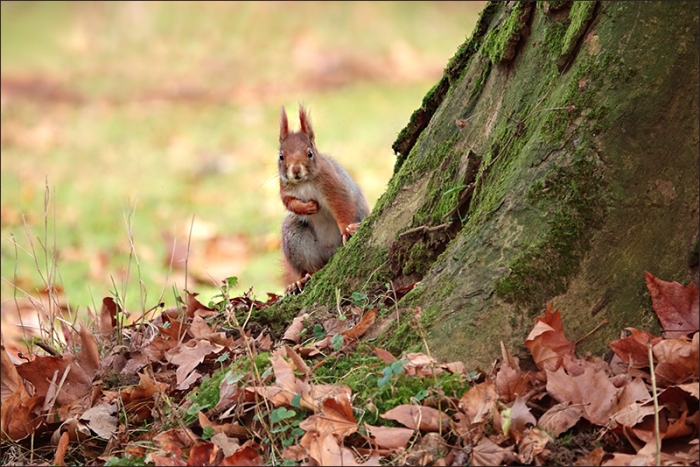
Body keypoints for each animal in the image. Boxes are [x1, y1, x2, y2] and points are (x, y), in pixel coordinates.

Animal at [278, 105, 370, 294]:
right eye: (281, 156)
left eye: (310, 153)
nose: (296, 170)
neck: (304, 182)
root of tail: (330, 254)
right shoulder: (284, 190)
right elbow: (290, 203)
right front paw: (308, 207)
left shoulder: (332, 183)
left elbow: (341, 203)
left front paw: (347, 230)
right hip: (295, 239)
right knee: (311, 268)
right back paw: (298, 281)